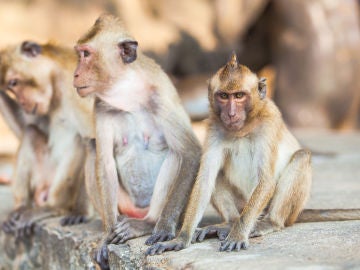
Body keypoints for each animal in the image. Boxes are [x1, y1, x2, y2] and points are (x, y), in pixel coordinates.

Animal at [0, 40, 95, 236]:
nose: (23, 102)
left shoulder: (79, 91)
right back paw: (20, 207)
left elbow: (94, 140)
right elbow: (24, 128)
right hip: (43, 178)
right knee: (30, 131)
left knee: (80, 141)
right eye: (9, 88)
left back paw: (54, 207)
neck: (56, 81)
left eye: (14, 82)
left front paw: (81, 212)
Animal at [72, 15, 202, 270]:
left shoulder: (161, 96)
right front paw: (105, 238)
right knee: (92, 148)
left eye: (86, 54)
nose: (75, 74)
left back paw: (149, 223)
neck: (127, 93)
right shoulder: (100, 106)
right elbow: (104, 163)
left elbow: (190, 151)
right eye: (79, 54)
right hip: (124, 205)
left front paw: (163, 229)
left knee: (176, 154)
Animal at [145, 52, 360, 255]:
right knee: (217, 177)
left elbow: (266, 181)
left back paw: (269, 222)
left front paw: (238, 235)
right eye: (224, 96)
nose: (231, 114)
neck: (243, 128)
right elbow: (205, 178)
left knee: (301, 156)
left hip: (273, 209)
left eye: (239, 95)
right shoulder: (214, 127)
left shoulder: (269, 123)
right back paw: (229, 223)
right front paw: (181, 238)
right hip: (242, 204)